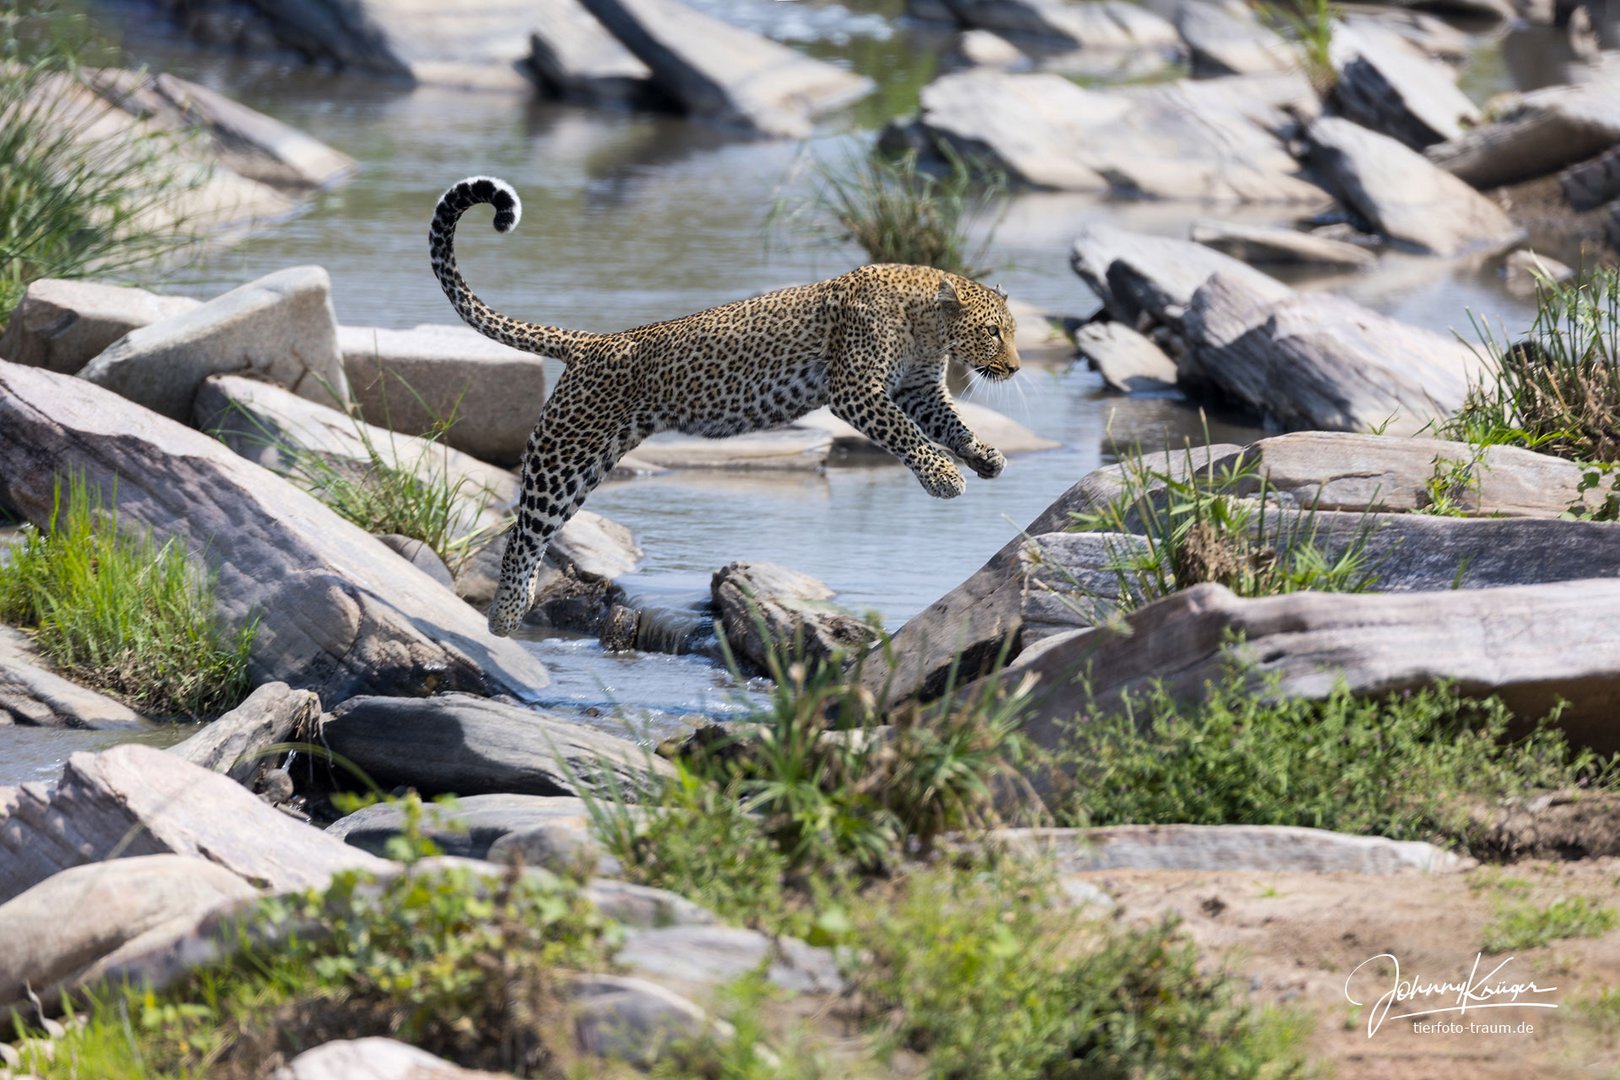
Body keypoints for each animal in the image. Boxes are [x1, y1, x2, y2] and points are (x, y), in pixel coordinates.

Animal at [430, 173, 1023, 637]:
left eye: (1012, 333)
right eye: (994, 332)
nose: (1017, 368)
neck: (929, 326)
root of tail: (593, 342)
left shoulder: (918, 389)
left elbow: (949, 422)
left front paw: (985, 456)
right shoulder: (857, 390)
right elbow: (907, 434)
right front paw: (944, 476)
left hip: (587, 461)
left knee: (540, 528)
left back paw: (522, 603)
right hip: (564, 452)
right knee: (521, 531)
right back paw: (505, 615)